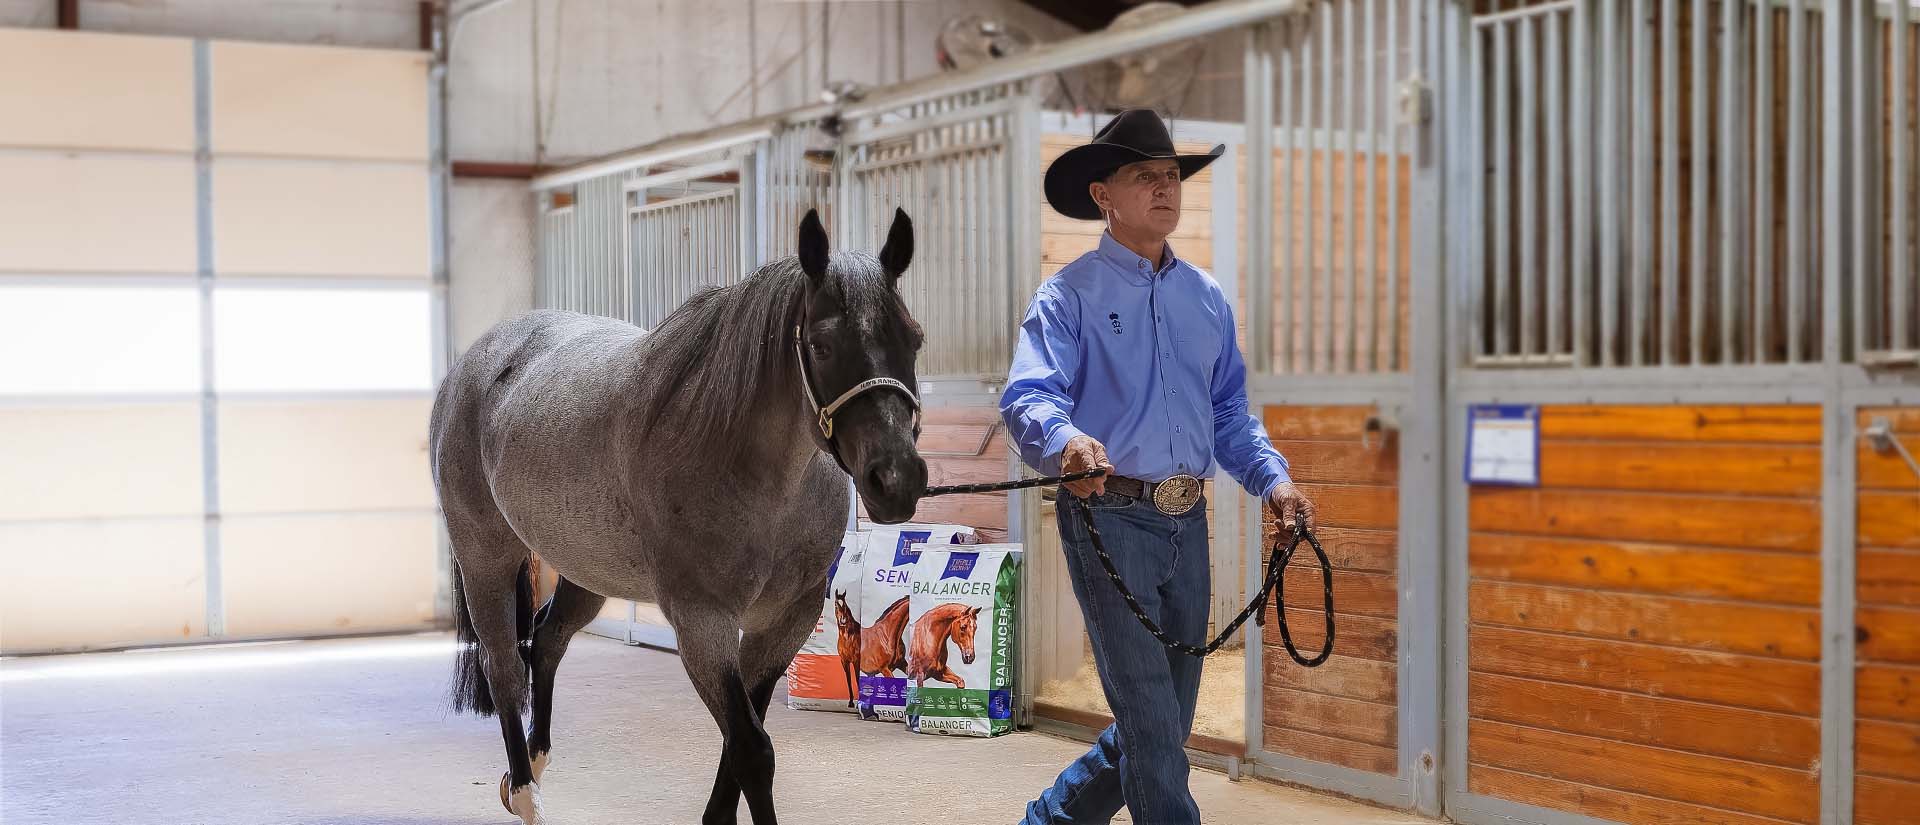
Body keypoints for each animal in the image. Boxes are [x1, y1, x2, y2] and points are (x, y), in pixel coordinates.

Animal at [429, 208, 928, 825]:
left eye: (914, 337)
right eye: (822, 344)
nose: (897, 480)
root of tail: (473, 364)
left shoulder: (782, 622)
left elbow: (740, 740)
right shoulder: (701, 622)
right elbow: (752, 749)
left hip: (587, 572)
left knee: (545, 641)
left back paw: (537, 762)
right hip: (486, 560)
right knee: (502, 667)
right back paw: (524, 794)